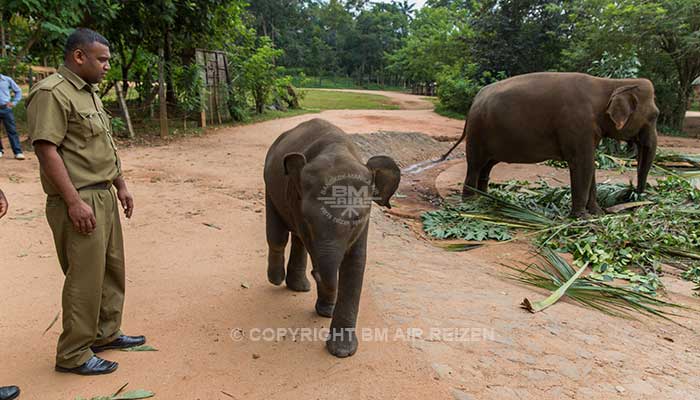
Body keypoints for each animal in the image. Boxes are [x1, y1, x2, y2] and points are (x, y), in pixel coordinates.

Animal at [262, 118, 402, 356]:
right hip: (269, 187)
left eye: (356, 218)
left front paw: (342, 350)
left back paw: (300, 287)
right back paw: (277, 279)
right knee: (278, 236)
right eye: (308, 218)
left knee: (296, 239)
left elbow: (356, 261)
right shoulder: (296, 198)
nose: (315, 273)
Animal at [440, 70, 660, 217]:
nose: (634, 197)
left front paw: (597, 214)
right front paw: (581, 218)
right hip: (478, 132)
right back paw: (471, 202)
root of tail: (475, 98)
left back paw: (485, 198)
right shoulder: (577, 125)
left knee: (487, 166)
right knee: (476, 165)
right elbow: (583, 164)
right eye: (655, 116)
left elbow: (590, 166)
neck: (610, 84)